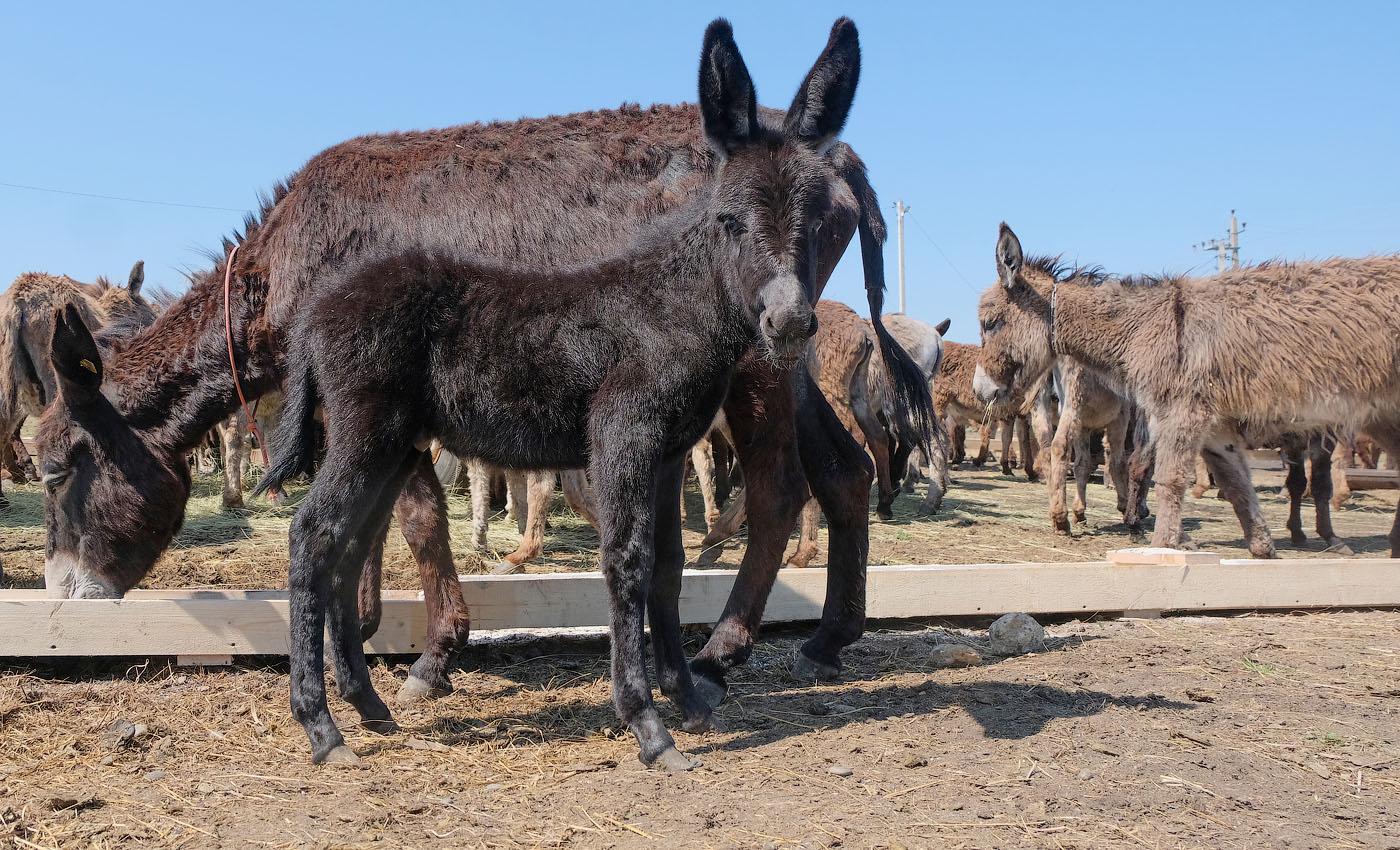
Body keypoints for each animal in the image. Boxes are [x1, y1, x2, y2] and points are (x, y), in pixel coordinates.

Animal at [259, 16, 856, 767]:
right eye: (728, 219)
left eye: (819, 218)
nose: (788, 323)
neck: (670, 303)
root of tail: (315, 317)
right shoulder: (624, 435)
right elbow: (626, 562)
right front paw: (647, 725)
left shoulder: (666, 451)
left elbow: (666, 567)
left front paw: (687, 700)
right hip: (366, 432)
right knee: (312, 537)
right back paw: (320, 725)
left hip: (390, 442)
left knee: (341, 547)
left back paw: (367, 707)